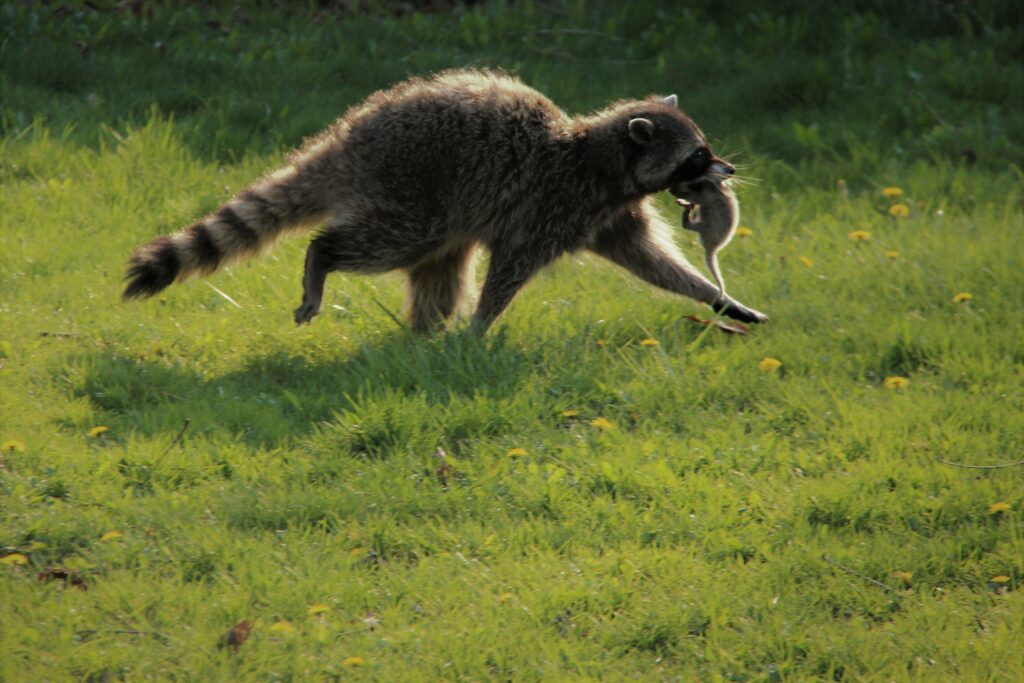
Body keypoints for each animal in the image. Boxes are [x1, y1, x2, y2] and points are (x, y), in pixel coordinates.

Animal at [123, 70, 770, 333]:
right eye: (697, 156)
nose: (729, 169)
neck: (601, 158)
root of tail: (346, 139)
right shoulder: (553, 203)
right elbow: (511, 267)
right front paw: (482, 326)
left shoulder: (610, 212)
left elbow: (653, 263)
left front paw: (717, 296)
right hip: (414, 190)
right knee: (384, 244)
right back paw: (322, 259)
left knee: (440, 272)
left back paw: (424, 335)